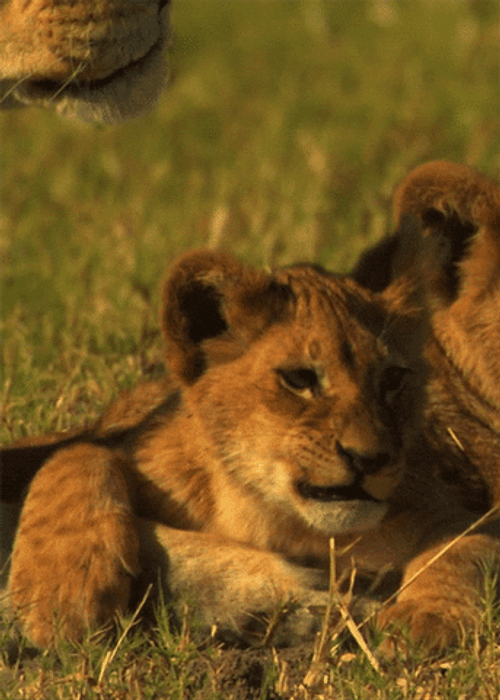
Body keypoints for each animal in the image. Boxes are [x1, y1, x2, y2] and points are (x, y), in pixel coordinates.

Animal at [2, 204, 499, 654]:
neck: (275, 518)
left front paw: (424, 621)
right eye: (299, 378)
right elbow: (77, 453)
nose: (369, 458)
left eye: (393, 379)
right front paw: (62, 599)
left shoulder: (454, 509)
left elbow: (460, 550)